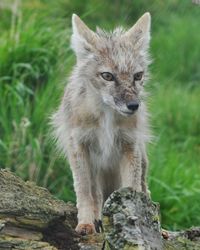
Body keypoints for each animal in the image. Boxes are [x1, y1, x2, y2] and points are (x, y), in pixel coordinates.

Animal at [50, 12, 151, 234]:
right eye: (107, 76)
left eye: (138, 76)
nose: (134, 106)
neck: (106, 119)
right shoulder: (79, 147)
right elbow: (85, 192)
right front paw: (86, 223)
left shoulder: (129, 146)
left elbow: (133, 190)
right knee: (97, 195)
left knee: (145, 191)